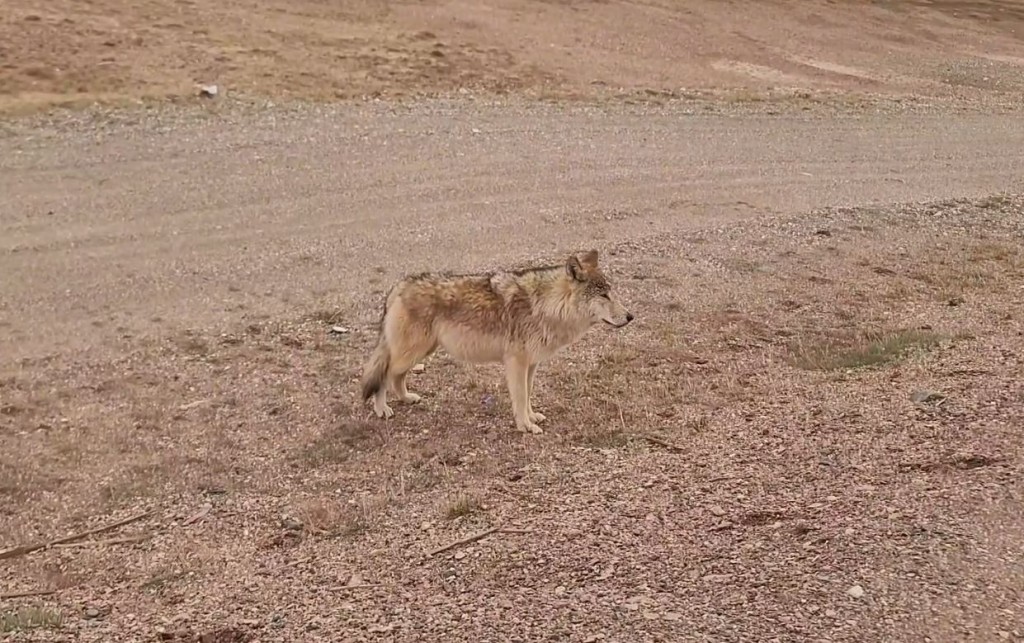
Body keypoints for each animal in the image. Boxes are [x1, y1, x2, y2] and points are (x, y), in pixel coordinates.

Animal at [360, 248, 630, 434]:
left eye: (612, 292)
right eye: (604, 295)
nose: (630, 316)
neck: (546, 306)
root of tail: (398, 286)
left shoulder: (531, 365)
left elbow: (528, 396)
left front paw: (532, 417)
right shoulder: (516, 363)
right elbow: (520, 398)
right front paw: (526, 427)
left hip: (420, 352)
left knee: (395, 378)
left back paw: (406, 398)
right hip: (411, 353)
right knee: (383, 377)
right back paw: (382, 410)